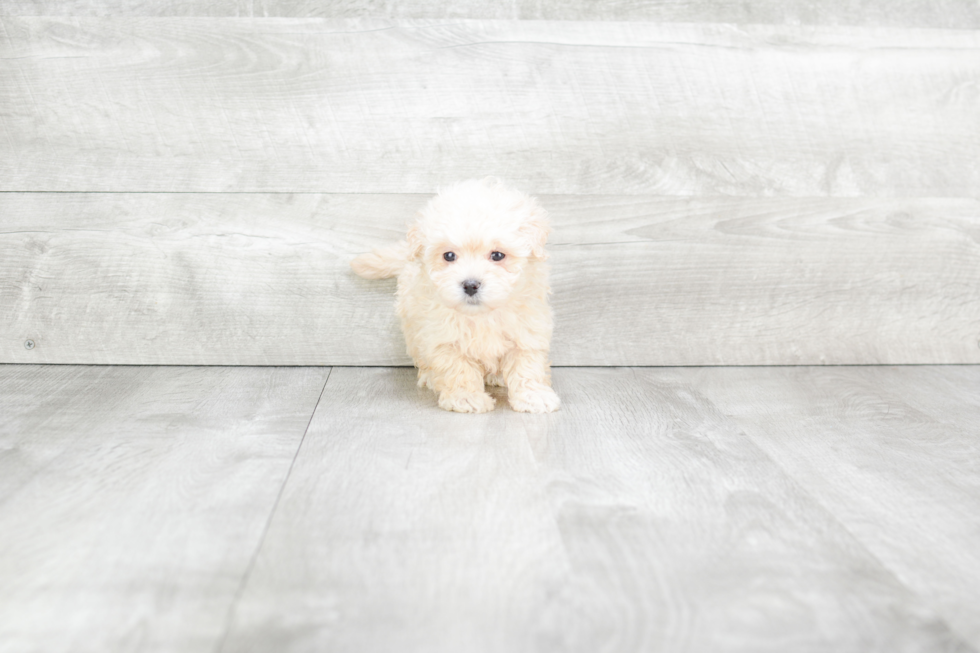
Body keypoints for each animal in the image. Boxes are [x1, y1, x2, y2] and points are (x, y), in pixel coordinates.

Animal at [354, 178, 564, 412]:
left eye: (497, 255)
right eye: (449, 255)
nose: (470, 285)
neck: (481, 314)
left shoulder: (526, 329)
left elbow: (527, 366)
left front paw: (534, 396)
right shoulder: (442, 337)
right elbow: (457, 368)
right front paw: (465, 398)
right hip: (413, 330)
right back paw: (429, 376)